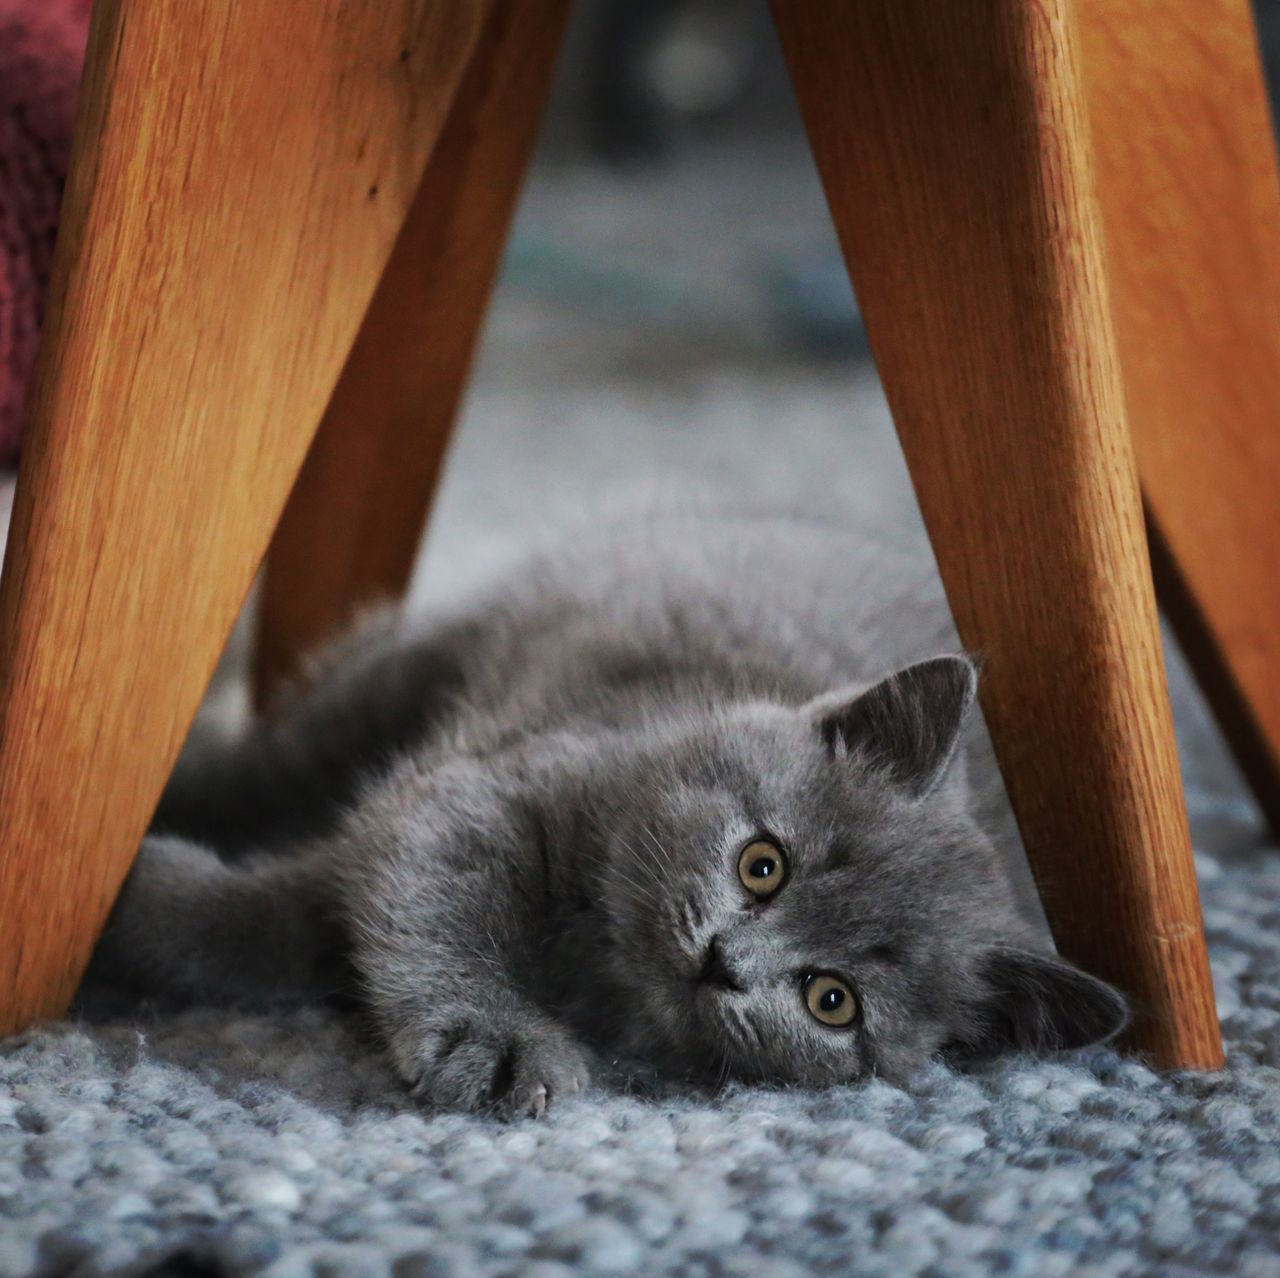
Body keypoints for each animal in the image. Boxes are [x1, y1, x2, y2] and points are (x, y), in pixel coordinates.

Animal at [90, 504, 1126, 1116]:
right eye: (763, 863)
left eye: (832, 1001)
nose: (725, 962)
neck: (598, 964)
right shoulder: (476, 794)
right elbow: (374, 904)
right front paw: (499, 1041)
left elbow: (307, 917)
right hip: (414, 665)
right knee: (266, 760)